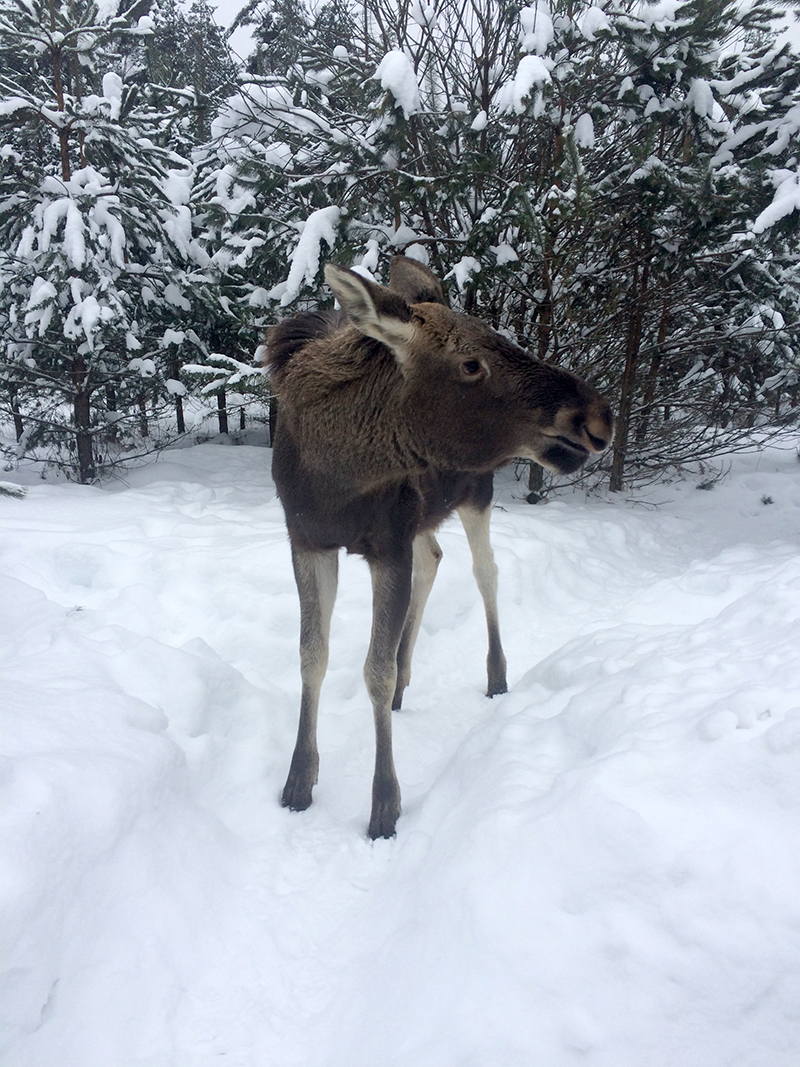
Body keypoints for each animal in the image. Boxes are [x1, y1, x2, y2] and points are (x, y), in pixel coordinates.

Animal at [266, 253, 610, 836]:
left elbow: (374, 671)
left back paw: (496, 675)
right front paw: (298, 781)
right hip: (426, 514)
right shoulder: (308, 540)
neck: (337, 479)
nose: (596, 415)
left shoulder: (387, 545)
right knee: (434, 559)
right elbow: (313, 656)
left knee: (485, 570)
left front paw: (384, 804)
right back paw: (411, 682)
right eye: (471, 364)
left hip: (476, 494)